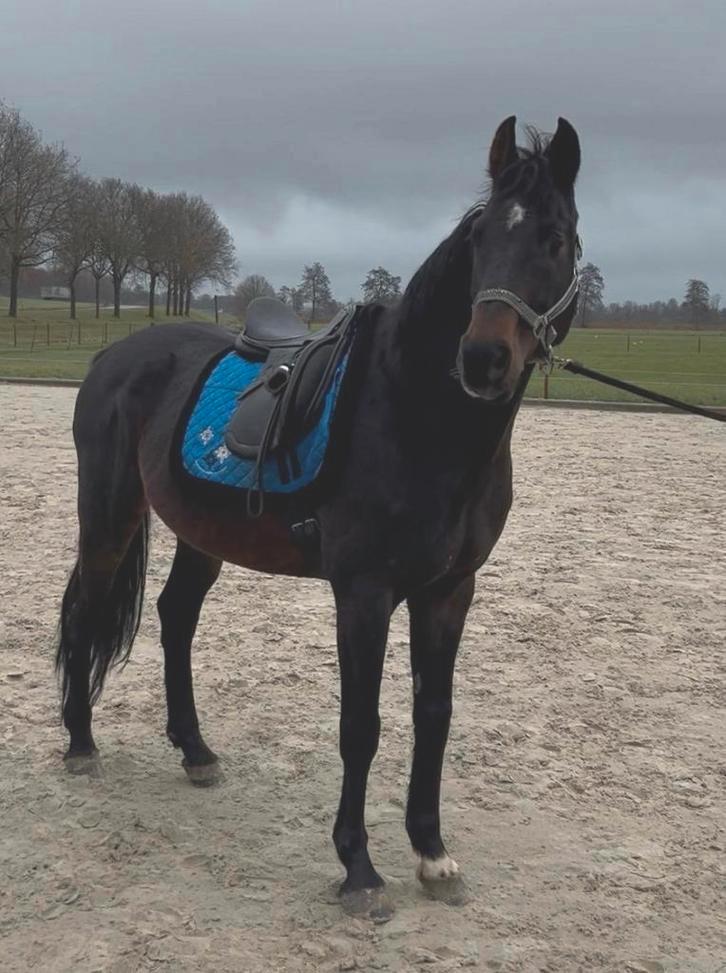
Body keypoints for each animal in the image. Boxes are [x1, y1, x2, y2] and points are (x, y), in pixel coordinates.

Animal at [55, 115, 581, 917]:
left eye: (556, 236)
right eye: (480, 236)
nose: (483, 357)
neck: (415, 414)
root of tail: (113, 356)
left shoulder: (449, 591)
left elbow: (434, 714)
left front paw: (432, 853)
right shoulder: (363, 592)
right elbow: (360, 725)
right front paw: (359, 868)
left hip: (201, 530)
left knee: (176, 616)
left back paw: (196, 751)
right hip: (110, 513)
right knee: (88, 607)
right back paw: (81, 745)